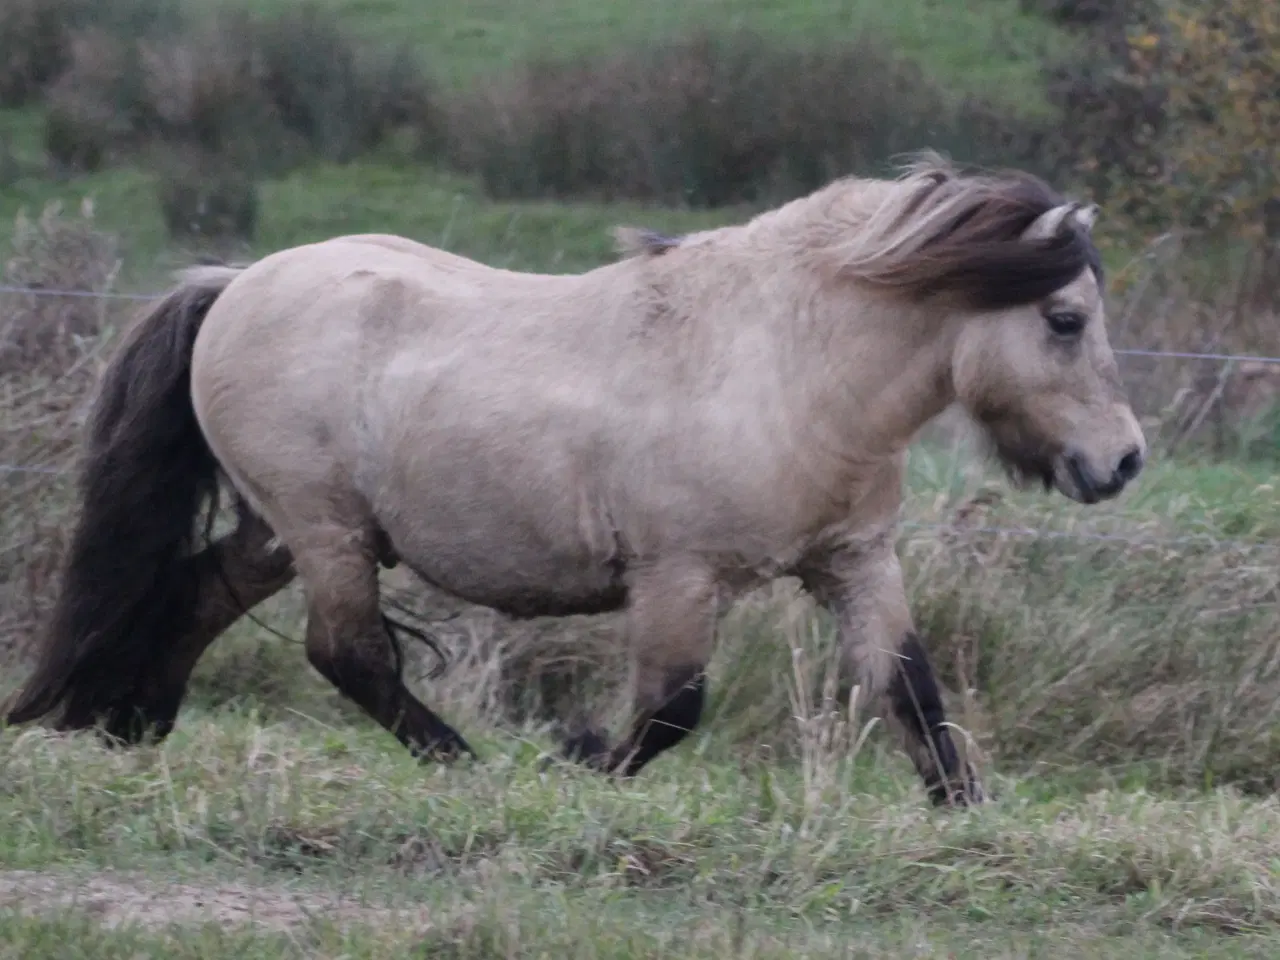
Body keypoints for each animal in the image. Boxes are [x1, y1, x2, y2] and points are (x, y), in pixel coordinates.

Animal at [2, 154, 1141, 808]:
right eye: (1063, 319)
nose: (1122, 461)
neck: (785, 359)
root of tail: (237, 283)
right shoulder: (679, 575)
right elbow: (671, 710)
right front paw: (572, 760)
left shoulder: (853, 563)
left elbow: (910, 689)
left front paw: (968, 814)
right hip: (324, 532)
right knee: (350, 654)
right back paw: (459, 766)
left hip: (284, 533)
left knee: (200, 592)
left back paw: (128, 721)